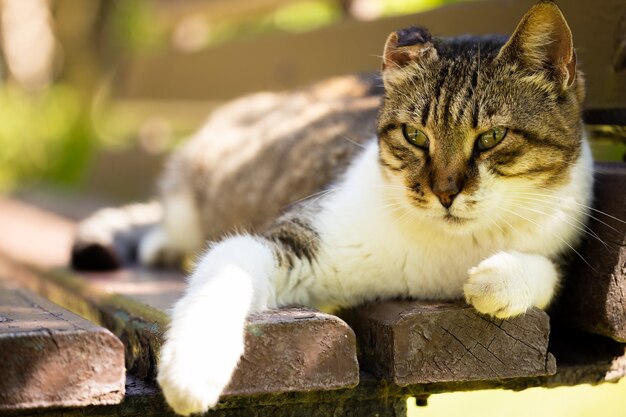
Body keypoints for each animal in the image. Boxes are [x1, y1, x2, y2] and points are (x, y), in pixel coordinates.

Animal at [73, 1, 588, 414]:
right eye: (415, 136)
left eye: (492, 137)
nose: (445, 192)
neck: (446, 253)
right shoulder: (293, 239)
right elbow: (226, 275)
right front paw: (192, 373)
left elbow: (548, 274)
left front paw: (495, 279)